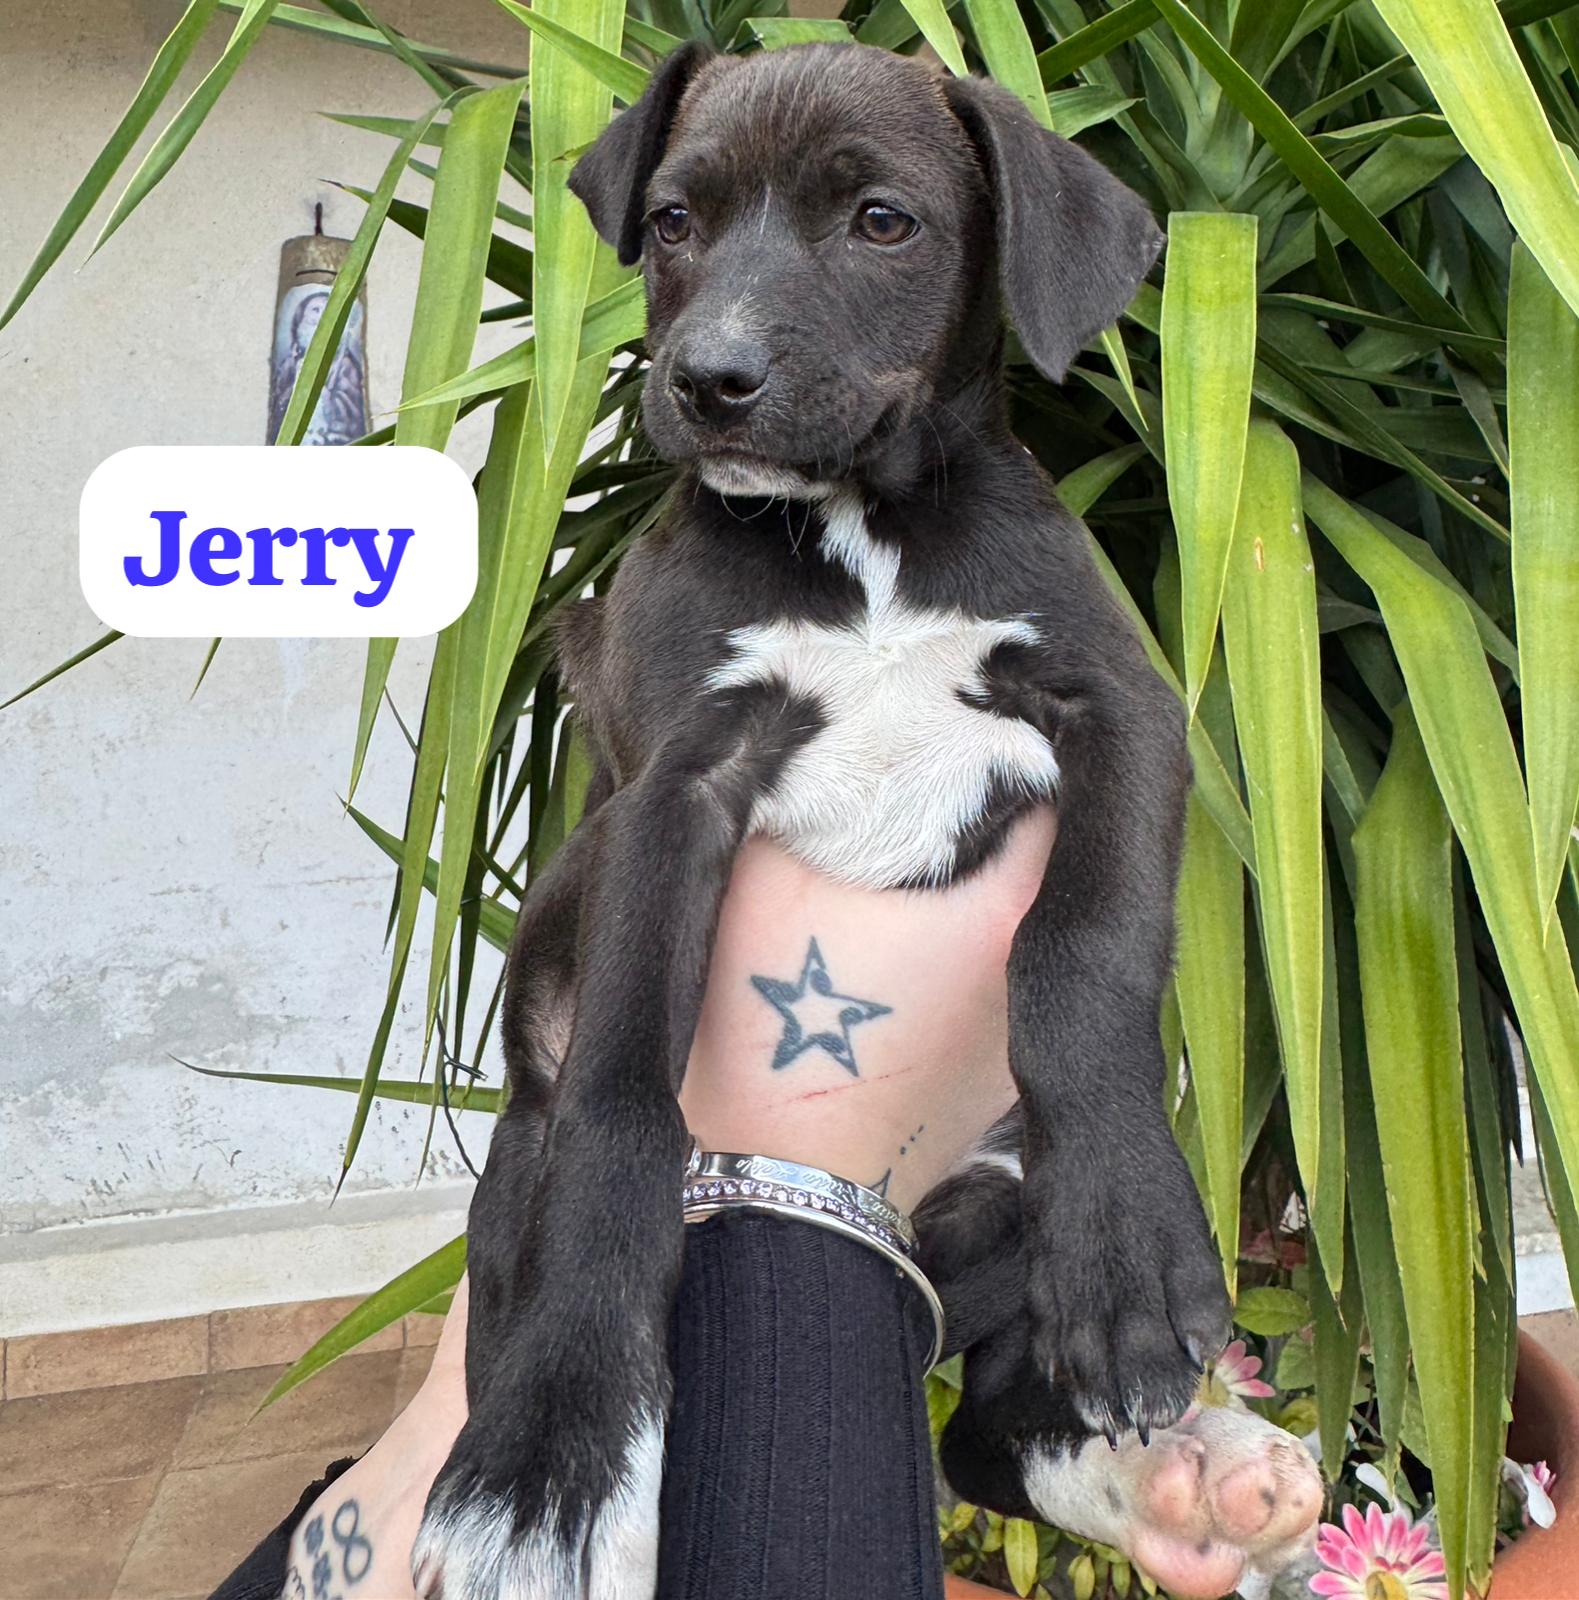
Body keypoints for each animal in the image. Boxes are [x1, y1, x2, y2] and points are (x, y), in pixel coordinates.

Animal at [411, 40, 1245, 1599]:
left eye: (880, 222)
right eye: (673, 219)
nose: (709, 379)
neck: (861, 536)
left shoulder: (1125, 713)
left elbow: (1080, 951)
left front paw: (1124, 1247)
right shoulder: (669, 791)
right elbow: (625, 1099)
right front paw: (553, 1457)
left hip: (990, 1228)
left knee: (984, 1433)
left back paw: (1177, 1473)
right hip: (507, 1195)